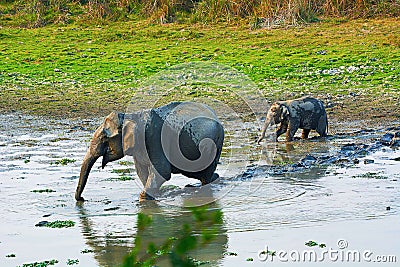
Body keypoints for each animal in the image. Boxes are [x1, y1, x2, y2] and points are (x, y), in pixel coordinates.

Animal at [75, 101, 225, 202]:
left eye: (104, 138)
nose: (82, 199)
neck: (130, 116)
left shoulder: (154, 139)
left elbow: (162, 171)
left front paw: (144, 199)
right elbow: (142, 171)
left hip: (214, 144)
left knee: (204, 175)